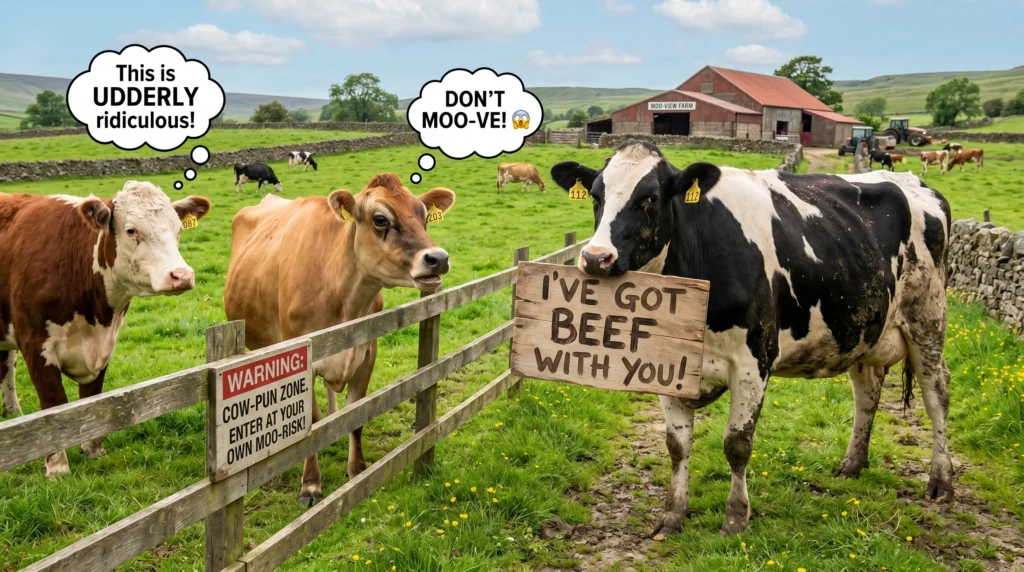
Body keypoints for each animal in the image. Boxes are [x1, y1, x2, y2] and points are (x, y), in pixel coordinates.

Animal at [0, 182, 211, 477]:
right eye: (131, 230)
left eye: (177, 228)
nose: (181, 275)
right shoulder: (35, 343)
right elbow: (53, 403)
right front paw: (57, 467)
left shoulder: (104, 344)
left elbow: (92, 397)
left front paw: (93, 451)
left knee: (6, 365)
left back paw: (13, 411)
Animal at [224, 173, 454, 505]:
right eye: (380, 219)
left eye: (424, 216)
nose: (438, 259)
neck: (343, 297)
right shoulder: (302, 361)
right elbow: (309, 423)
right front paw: (310, 485)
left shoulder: (367, 353)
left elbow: (356, 415)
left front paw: (357, 471)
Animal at [551, 139, 953, 539]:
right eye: (596, 195)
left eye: (650, 197)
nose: (596, 258)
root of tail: (914, 181)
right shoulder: (670, 366)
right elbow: (677, 445)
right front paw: (673, 515)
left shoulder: (753, 362)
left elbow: (737, 444)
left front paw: (736, 518)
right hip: (862, 329)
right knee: (867, 393)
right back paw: (852, 464)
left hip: (927, 319)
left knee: (937, 394)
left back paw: (940, 480)